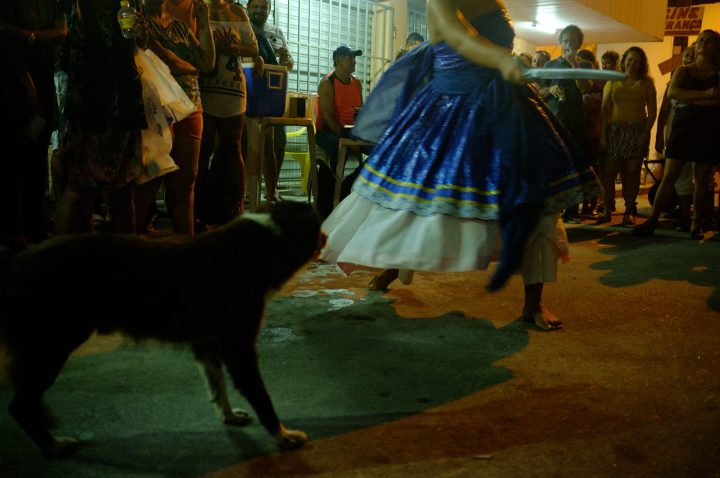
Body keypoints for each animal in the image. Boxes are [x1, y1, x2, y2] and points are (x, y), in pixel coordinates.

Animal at [0, 201, 322, 456]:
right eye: (316, 224)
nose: (325, 233)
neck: (262, 242)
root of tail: (16, 263)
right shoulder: (237, 347)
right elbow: (261, 397)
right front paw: (283, 436)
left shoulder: (207, 344)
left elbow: (217, 388)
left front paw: (229, 416)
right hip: (53, 345)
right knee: (20, 405)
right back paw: (53, 445)